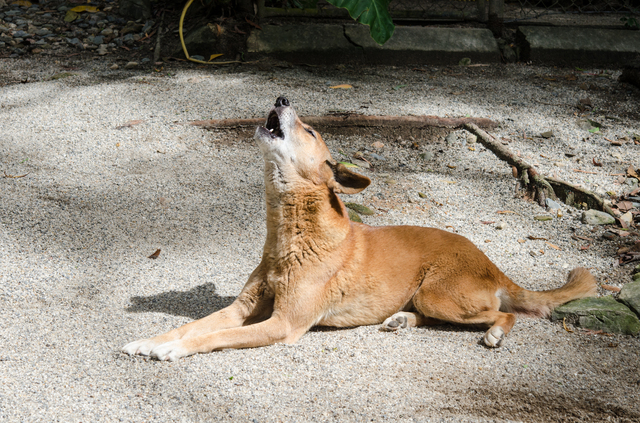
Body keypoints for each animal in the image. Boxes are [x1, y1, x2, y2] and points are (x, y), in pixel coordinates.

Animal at [121, 98, 600, 362]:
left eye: (311, 130)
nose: (281, 96)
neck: (289, 237)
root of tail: (492, 264)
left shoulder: (283, 324)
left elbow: (214, 336)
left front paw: (172, 351)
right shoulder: (242, 308)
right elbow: (192, 326)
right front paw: (150, 341)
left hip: (440, 293)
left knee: (504, 313)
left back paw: (495, 332)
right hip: (429, 297)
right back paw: (402, 319)